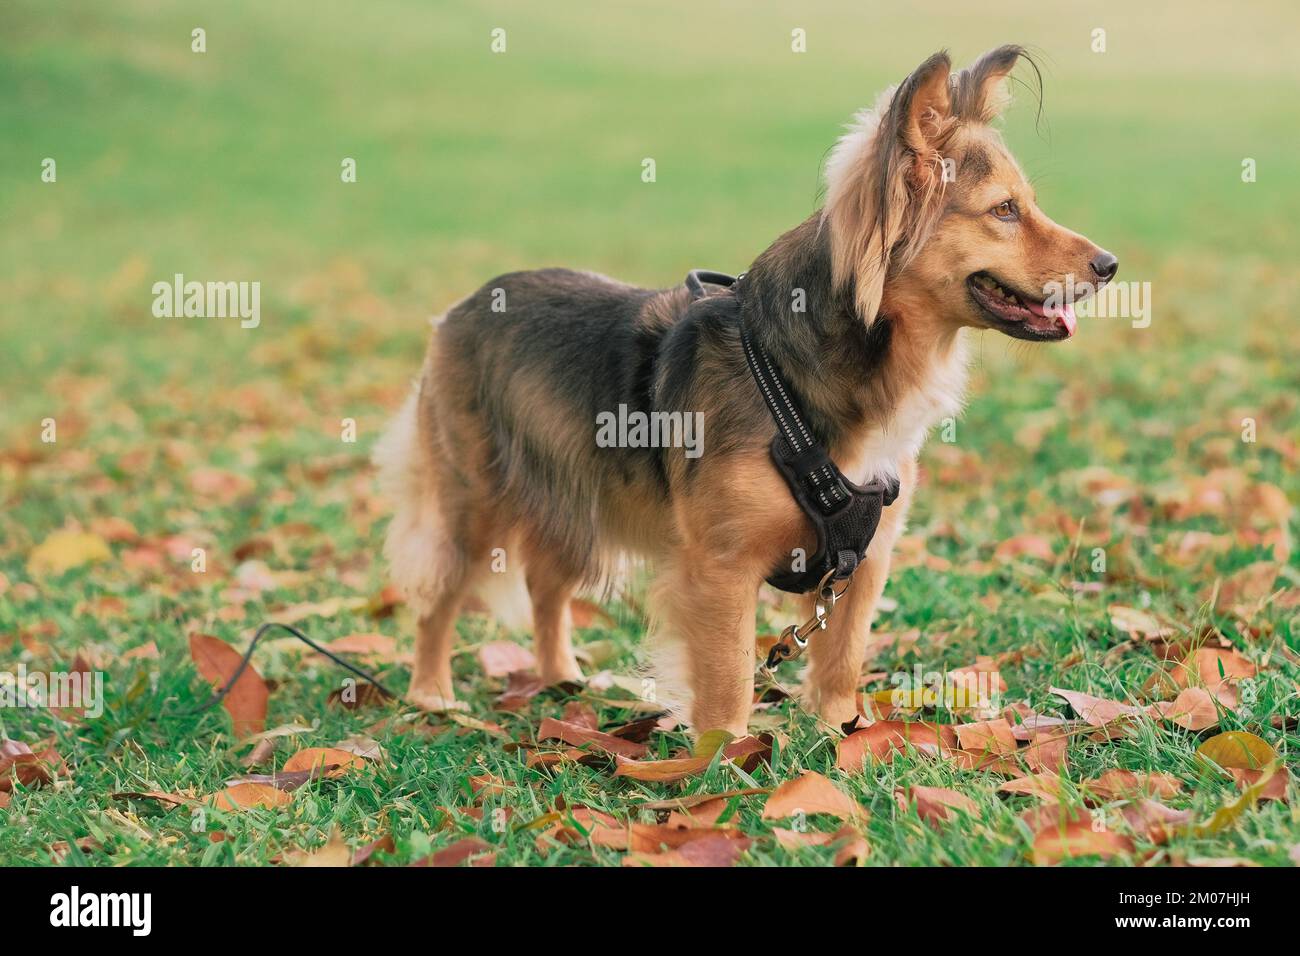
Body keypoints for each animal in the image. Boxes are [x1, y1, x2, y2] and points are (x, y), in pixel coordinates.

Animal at [377, 44, 1118, 738]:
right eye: (1004, 211)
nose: (1110, 265)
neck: (802, 382)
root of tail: (468, 304)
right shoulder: (722, 569)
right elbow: (729, 673)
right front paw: (727, 755)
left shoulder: (863, 561)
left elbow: (841, 658)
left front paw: (838, 734)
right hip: (474, 502)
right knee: (439, 598)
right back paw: (432, 692)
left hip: (573, 496)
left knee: (545, 586)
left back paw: (563, 679)